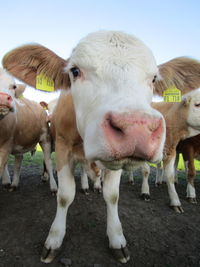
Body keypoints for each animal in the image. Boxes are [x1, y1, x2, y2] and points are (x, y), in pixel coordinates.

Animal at [2, 30, 200, 264]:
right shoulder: (62, 146)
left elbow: (112, 195)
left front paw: (117, 238)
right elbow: (65, 195)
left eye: (153, 78)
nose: (137, 128)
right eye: (75, 71)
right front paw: (55, 238)